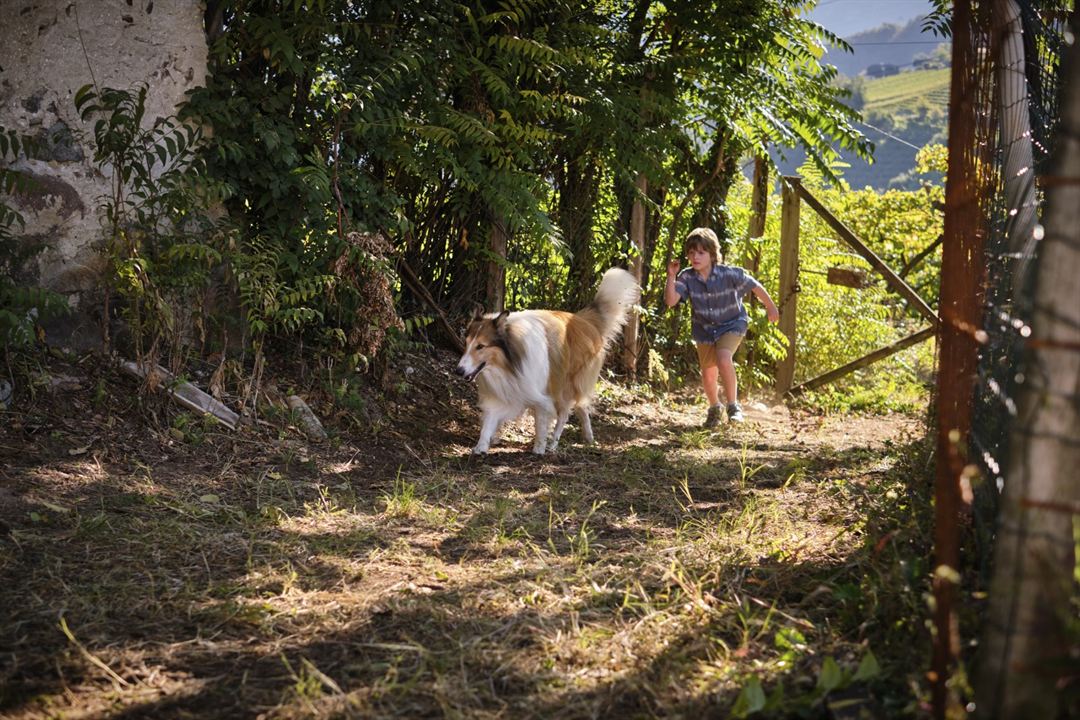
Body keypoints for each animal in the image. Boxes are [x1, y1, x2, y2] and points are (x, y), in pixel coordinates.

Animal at [451, 269, 635, 455]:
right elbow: (489, 421)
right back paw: (588, 437)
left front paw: (539, 448)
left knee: (565, 414)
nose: (459, 371)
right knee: (582, 407)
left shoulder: (541, 393)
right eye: (466, 343)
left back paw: (554, 443)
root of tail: (584, 320)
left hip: (566, 383)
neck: (509, 363)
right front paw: (481, 445)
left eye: (481, 346)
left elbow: (541, 422)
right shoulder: (503, 392)